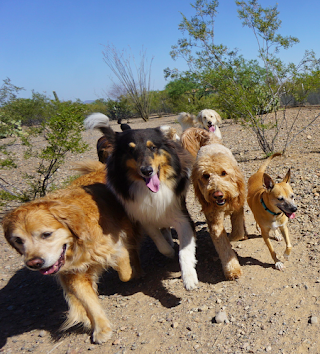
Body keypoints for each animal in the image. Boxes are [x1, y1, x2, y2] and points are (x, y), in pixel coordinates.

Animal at [1, 162, 141, 344]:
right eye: (18, 240)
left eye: (46, 234)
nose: (34, 263)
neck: (77, 245)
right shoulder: (73, 274)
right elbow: (88, 301)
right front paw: (101, 328)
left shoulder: (115, 245)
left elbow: (124, 268)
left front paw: (130, 272)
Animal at [85, 113, 200, 290]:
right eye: (131, 149)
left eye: (152, 147)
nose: (147, 170)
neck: (152, 192)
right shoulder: (142, 215)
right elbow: (159, 242)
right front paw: (169, 250)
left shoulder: (181, 215)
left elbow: (185, 250)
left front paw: (189, 277)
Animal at [191, 142, 246, 280]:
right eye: (206, 176)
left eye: (223, 173)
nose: (217, 194)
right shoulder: (214, 220)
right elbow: (222, 244)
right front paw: (232, 269)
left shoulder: (237, 208)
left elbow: (238, 231)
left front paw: (232, 236)